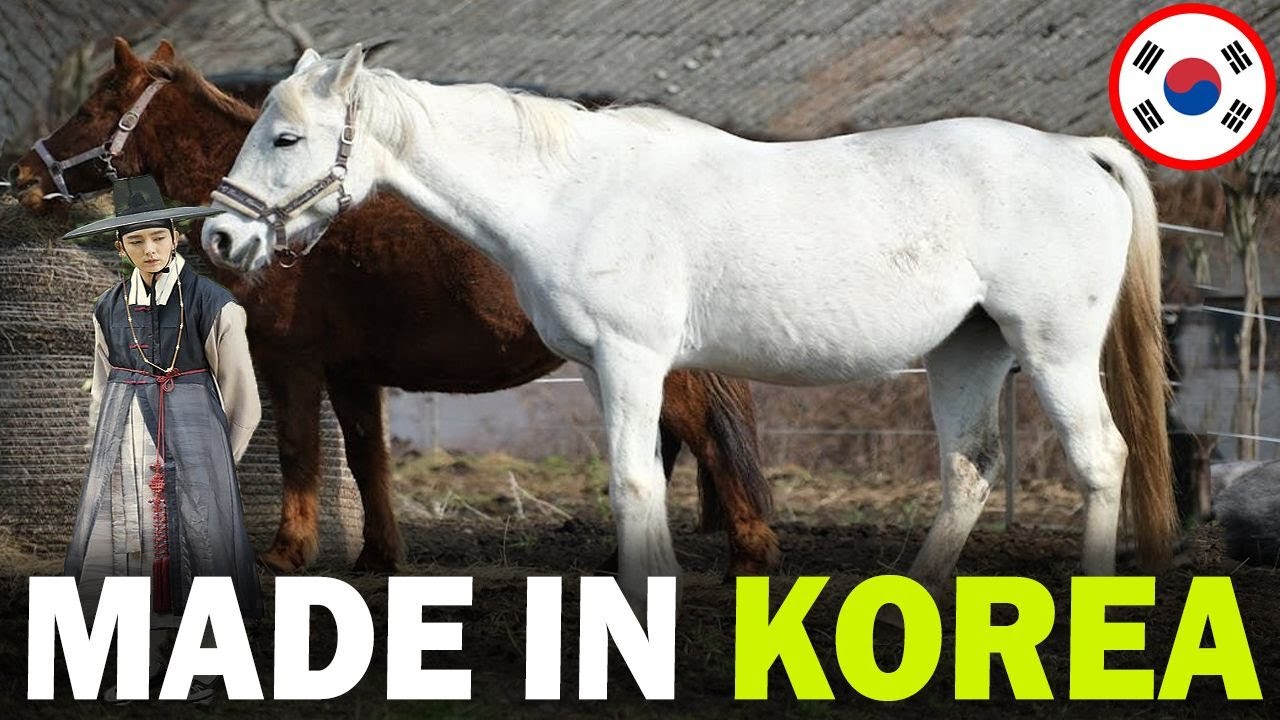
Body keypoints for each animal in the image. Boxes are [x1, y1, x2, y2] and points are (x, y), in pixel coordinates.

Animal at [11, 38, 780, 578]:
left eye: (93, 107)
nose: (21, 172)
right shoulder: (352, 372)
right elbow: (366, 459)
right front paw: (379, 554)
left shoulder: (291, 360)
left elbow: (300, 452)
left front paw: (287, 552)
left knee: (708, 441)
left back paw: (750, 556)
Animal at [202, 44, 1179, 603]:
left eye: (286, 138)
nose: (218, 236)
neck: (571, 191)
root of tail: (1077, 151)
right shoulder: (605, 371)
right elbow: (641, 485)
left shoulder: (634, 361)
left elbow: (633, 484)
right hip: (965, 352)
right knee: (971, 470)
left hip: (1053, 349)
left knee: (1103, 459)